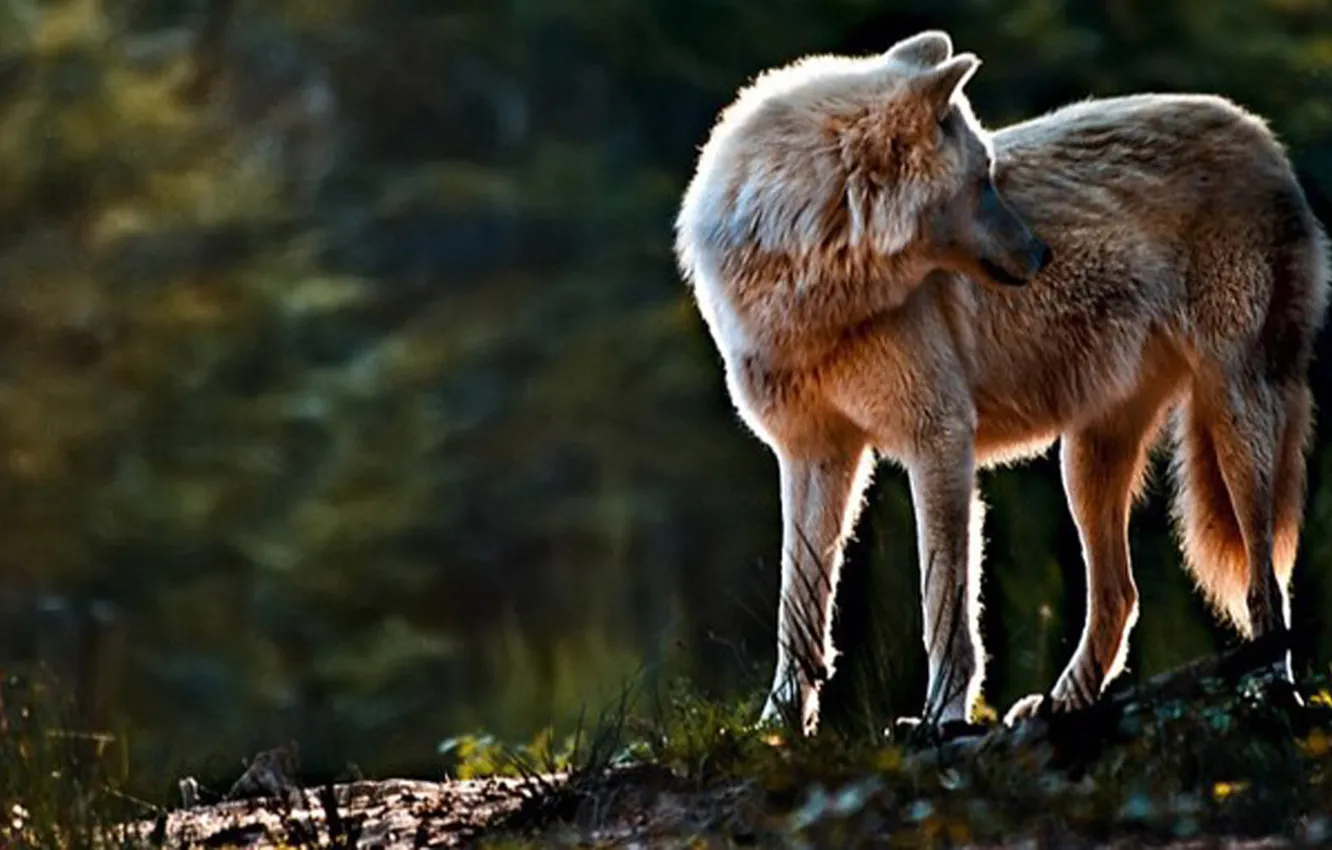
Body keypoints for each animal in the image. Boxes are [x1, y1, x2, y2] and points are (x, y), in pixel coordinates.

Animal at [673, 30, 1330, 735]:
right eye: (983, 181)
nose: (1042, 255)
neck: (807, 281)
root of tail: (1265, 139)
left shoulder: (938, 439)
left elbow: (945, 607)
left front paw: (939, 719)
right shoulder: (813, 454)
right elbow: (797, 612)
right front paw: (779, 728)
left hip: (1233, 424)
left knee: (1267, 582)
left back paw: (1269, 689)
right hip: (1087, 460)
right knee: (1121, 596)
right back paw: (1062, 705)